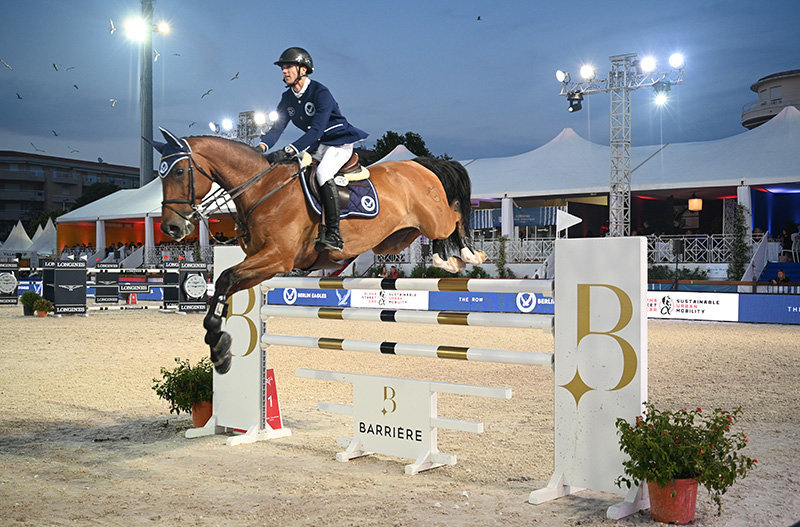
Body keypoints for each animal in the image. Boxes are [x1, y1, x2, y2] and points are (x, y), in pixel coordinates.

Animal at [148, 128, 488, 376]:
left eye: (179, 172)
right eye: (160, 175)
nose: (171, 228)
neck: (261, 190)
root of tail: (420, 165)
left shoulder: (277, 258)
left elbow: (223, 279)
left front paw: (219, 347)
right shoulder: (259, 263)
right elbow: (224, 285)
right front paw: (219, 348)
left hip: (432, 218)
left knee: (454, 216)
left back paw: (468, 255)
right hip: (392, 239)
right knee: (430, 232)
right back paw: (447, 258)